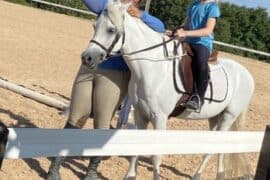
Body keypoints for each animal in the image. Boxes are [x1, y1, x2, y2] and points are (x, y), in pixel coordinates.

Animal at [80, 0, 255, 179]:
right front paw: (130, 176)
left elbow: (156, 156)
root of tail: (246, 74)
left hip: (228, 116)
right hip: (214, 117)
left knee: (216, 148)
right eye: (95, 26)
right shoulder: (140, 113)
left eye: (111, 30)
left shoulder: (160, 118)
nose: (87, 58)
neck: (153, 67)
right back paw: (207, 175)